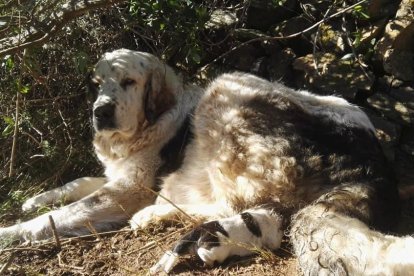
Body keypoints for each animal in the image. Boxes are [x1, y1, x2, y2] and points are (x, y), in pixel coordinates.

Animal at [0, 48, 414, 274]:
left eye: (129, 82)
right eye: (97, 84)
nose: (100, 112)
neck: (151, 122)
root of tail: (374, 161)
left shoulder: (129, 188)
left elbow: (56, 218)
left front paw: (11, 231)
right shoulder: (119, 175)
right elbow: (77, 183)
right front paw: (34, 199)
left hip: (227, 92)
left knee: (232, 203)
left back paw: (153, 215)